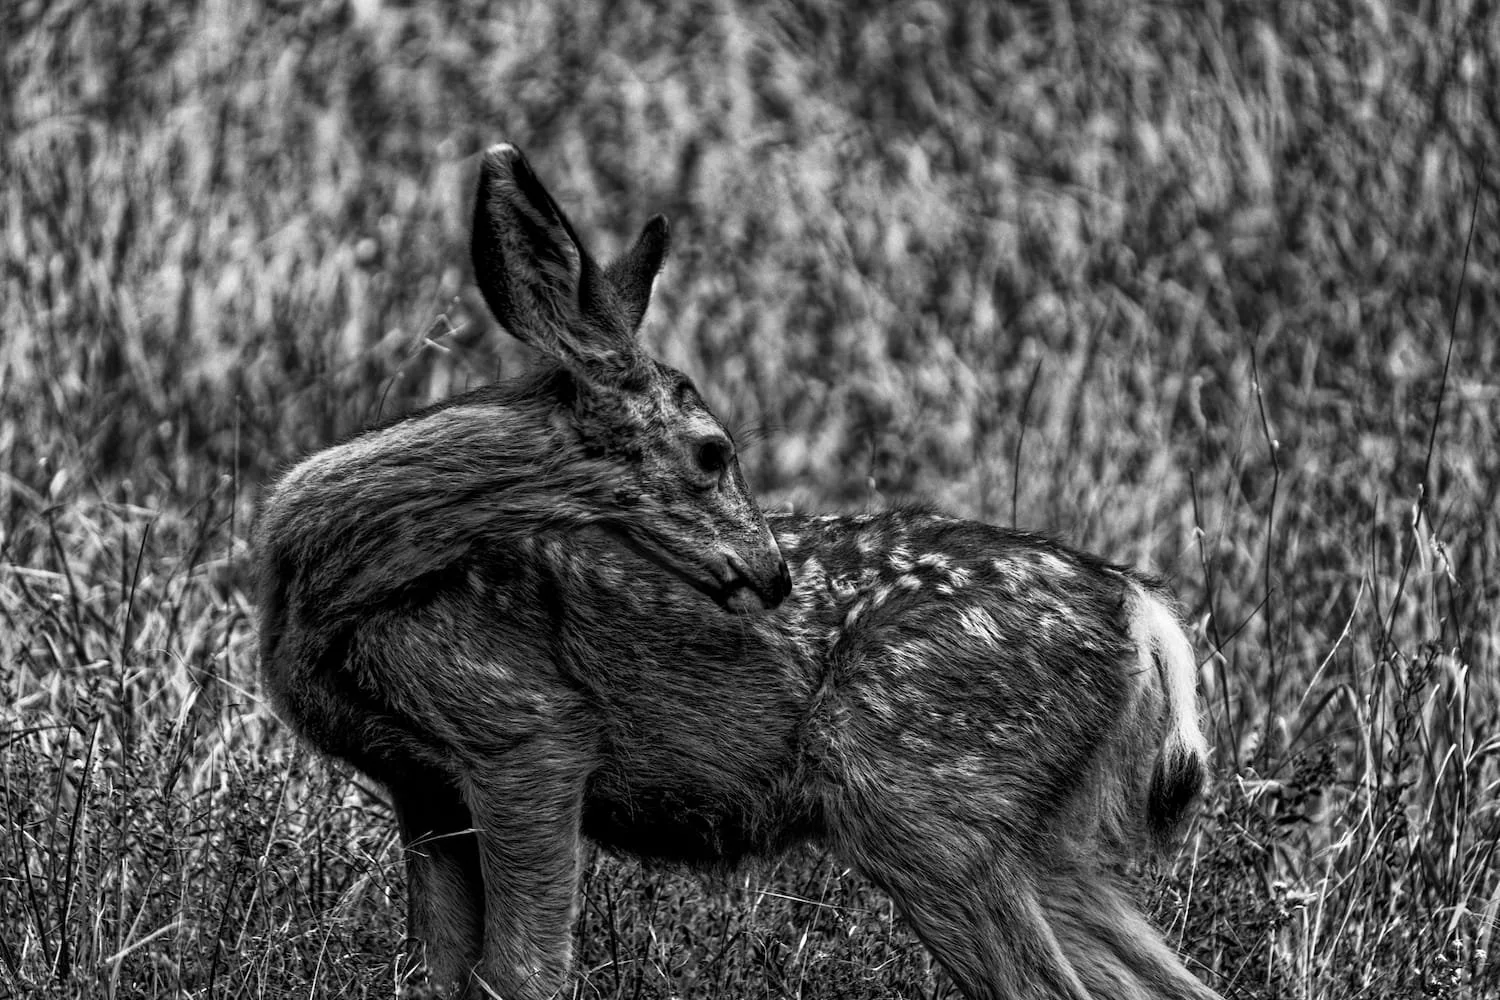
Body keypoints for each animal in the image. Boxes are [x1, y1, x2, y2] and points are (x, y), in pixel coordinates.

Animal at [256, 143, 1221, 1000]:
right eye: (714, 451)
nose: (773, 574)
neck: (331, 581)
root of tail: (1143, 614)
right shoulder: (421, 786)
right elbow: (438, 973)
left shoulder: (526, 732)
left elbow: (519, 975)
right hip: (1042, 837)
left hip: (927, 802)